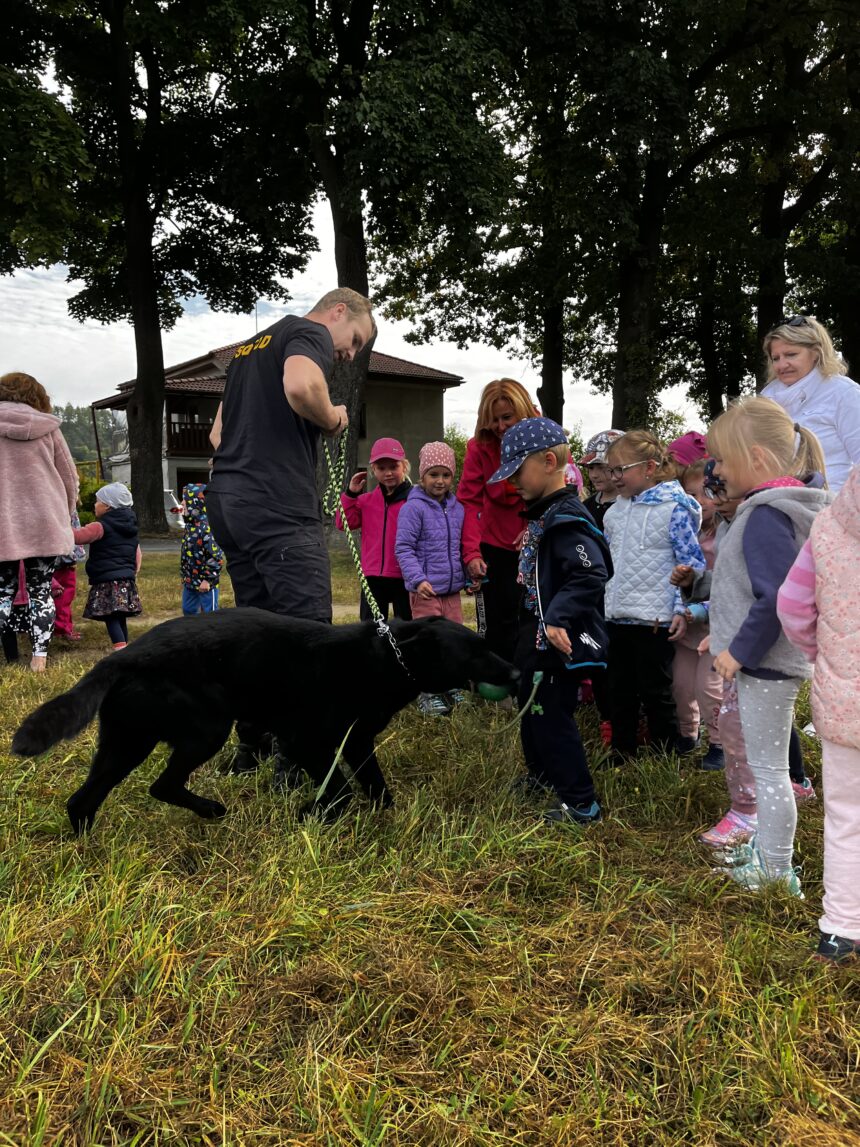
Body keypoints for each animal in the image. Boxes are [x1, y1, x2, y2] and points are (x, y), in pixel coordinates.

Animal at [11, 610, 518, 835]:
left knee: (83, 800)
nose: (515, 673)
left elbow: (375, 788)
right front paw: (313, 814)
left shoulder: (357, 743)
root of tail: (123, 658)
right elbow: (340, 791)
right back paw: (212, 810)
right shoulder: (307, 742)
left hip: (124, 743)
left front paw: (378, 818)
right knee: (163, 785)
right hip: (205, 729)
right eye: (474, 651)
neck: (387, 658)